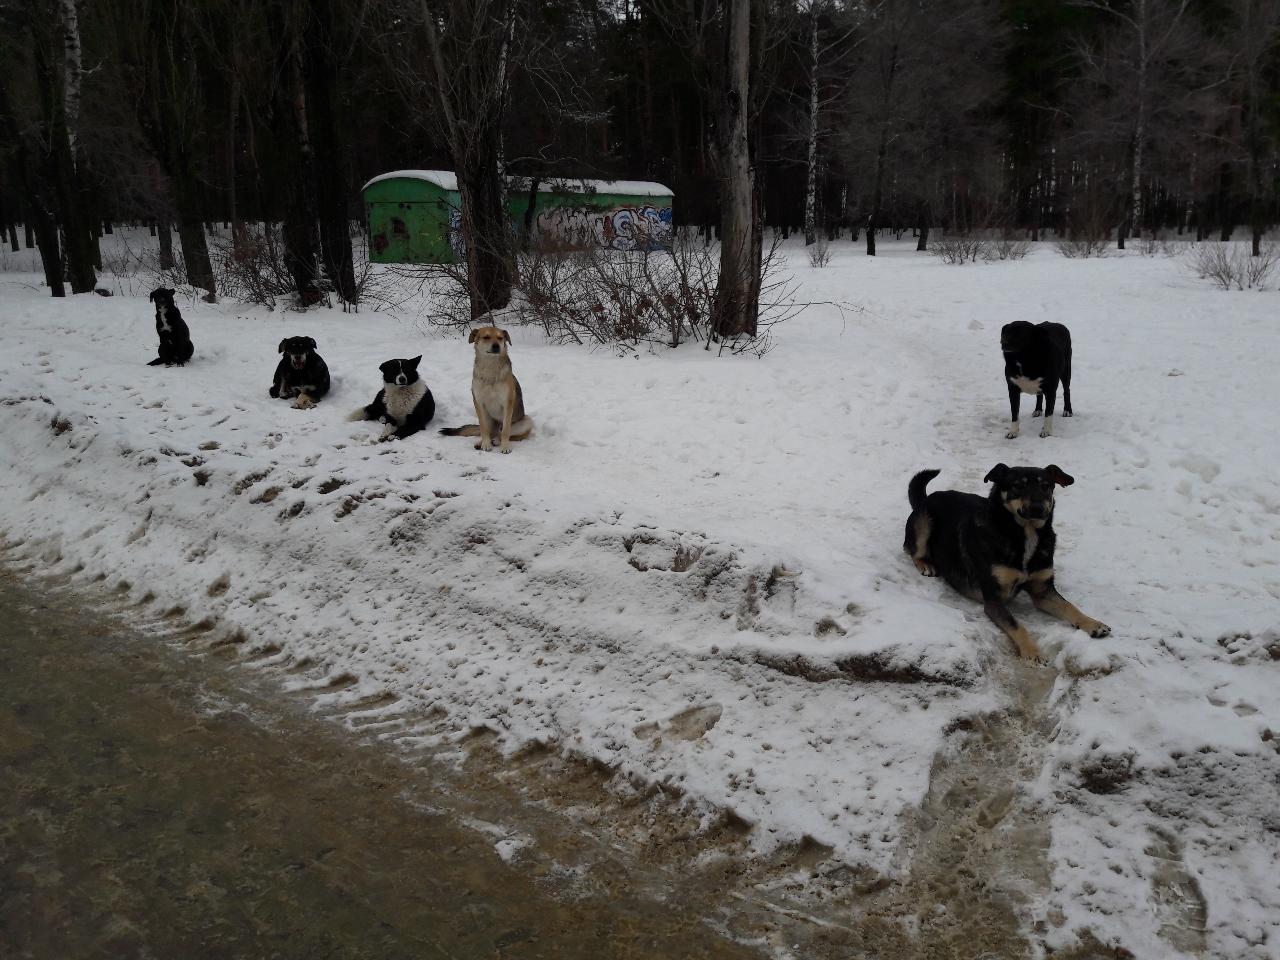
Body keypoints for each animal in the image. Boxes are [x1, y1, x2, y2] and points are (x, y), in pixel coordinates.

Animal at [901, 463, 1111, 660]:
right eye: (1018, 486)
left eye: (1046, 486)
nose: (1038, 509)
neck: (1025, 534)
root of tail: (926, 498)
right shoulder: (994, 599)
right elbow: (1017, 625)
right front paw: (1032, 651)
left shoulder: (1043, 590)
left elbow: (1069, 606)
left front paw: (1093, 624)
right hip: (923, 522)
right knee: (913, 550)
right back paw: (926, 564)